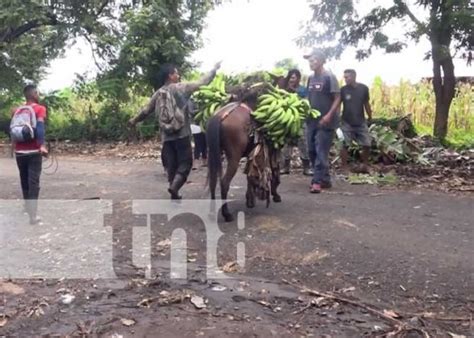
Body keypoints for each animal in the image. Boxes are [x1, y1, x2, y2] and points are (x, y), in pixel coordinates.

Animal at [206, 86, 282, 222]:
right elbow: (274, 172)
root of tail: (219, 117)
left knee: (213, 182)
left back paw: (212, 212)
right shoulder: (270, 149)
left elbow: (249, 175)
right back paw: (227, 214)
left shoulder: (252, 153)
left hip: (213, 154)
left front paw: (250, 200)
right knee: (224, 183)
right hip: (234, 158)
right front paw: (275, 195)